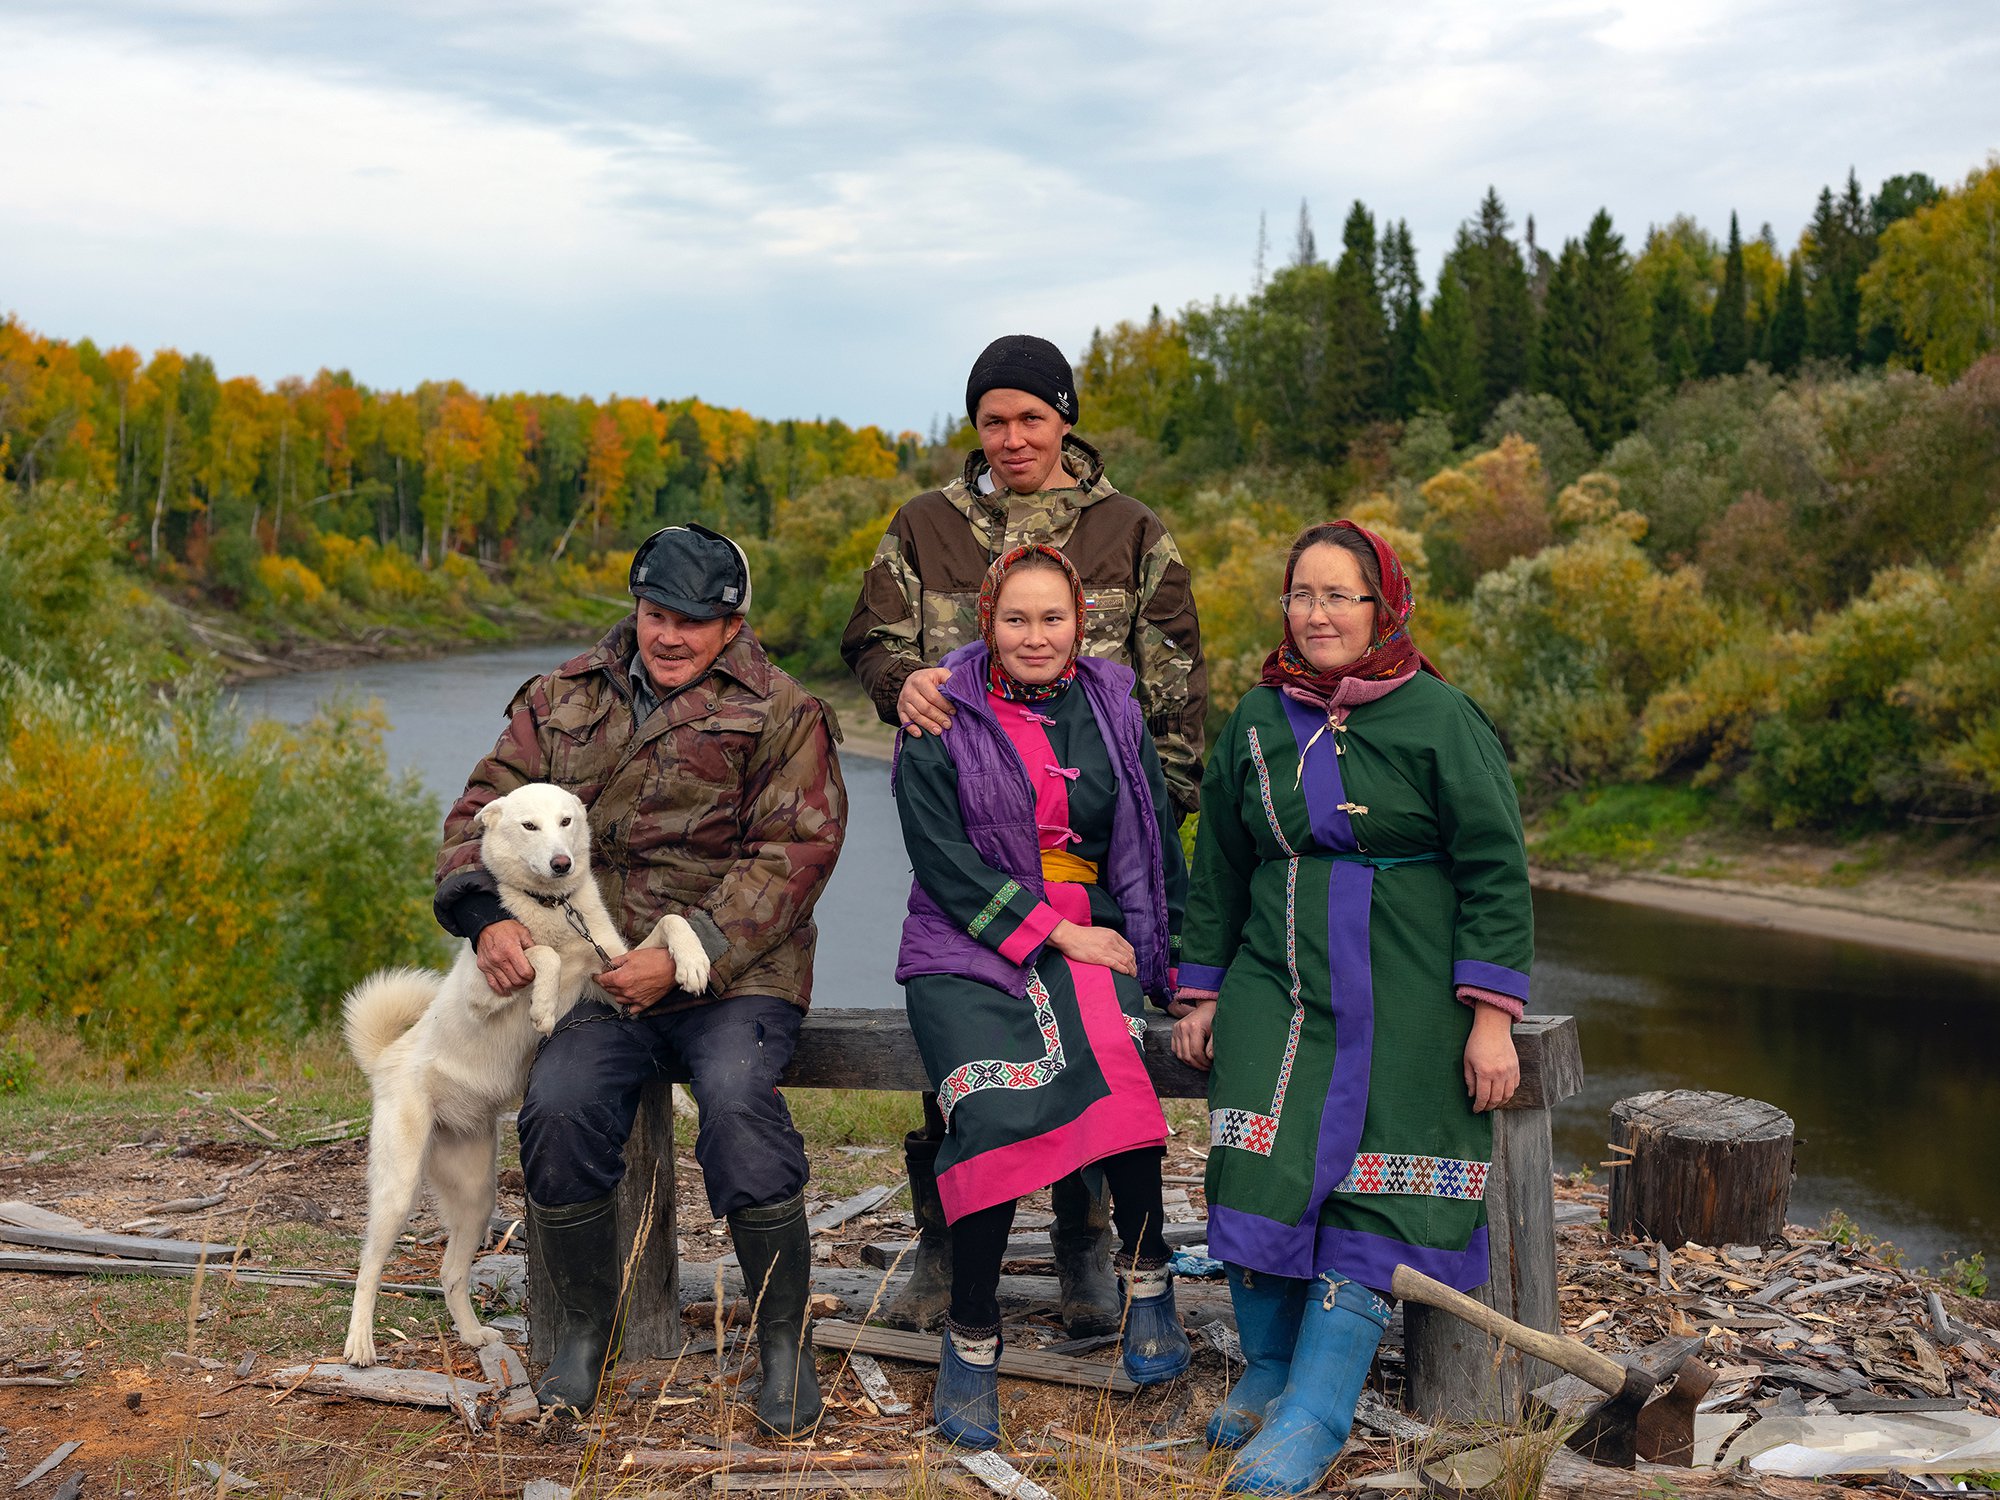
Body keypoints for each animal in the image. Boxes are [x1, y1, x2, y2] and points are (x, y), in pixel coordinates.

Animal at [342, 788, 712, 1376]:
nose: (561, 863)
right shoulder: (490, 985)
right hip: (399, 1188)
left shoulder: (615, 969)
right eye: (528, 826)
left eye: (566, 821)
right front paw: (541, 1006)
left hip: (477, 1196)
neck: (554, 908)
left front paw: (694, 963)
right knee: (368, 1264)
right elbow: (540, 954)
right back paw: (360, 1344)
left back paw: (474, 1337)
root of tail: (385, 1059)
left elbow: (673, 921)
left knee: (449, 1273)